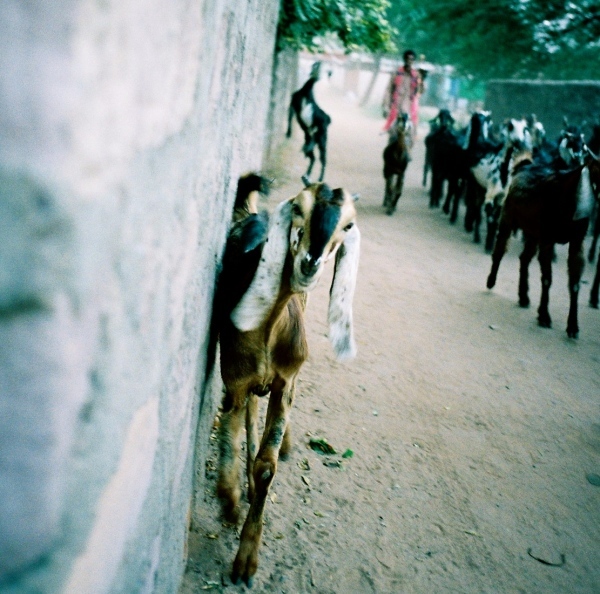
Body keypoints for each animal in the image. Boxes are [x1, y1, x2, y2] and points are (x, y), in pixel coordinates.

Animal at [214, 173, 358, 584]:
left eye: (348, 225)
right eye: (298, 207)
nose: (310, 261)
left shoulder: (286, 382)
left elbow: (267, 466)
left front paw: (247, 561)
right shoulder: (235, 379)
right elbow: (232, 427)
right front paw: (229, 497)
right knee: (248, 414)